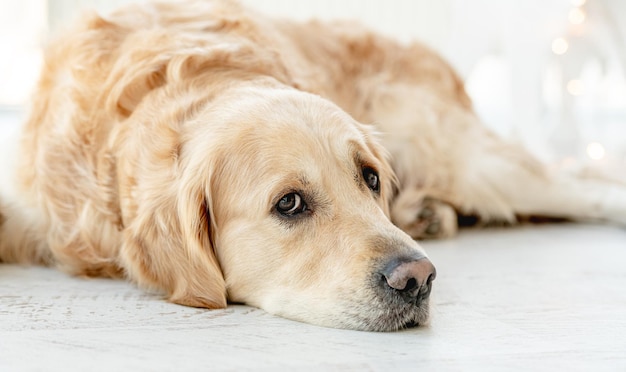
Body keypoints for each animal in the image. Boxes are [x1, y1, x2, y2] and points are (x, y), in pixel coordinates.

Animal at [1, 0, 624, 332]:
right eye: (290, 203)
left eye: (369, 178)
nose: (418, 278)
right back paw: (429, 213)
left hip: (464, 156)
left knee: (583, 183)